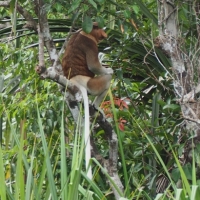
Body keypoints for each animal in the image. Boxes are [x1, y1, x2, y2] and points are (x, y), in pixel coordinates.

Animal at [61, 22, 113, 180]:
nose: (105, 33)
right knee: (106, 81)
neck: (85, 32)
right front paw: (109, 70)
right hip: (92, 84)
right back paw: (96, 106)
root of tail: (77, 82)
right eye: (100, 28)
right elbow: (93, 65)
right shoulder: (90, 45)